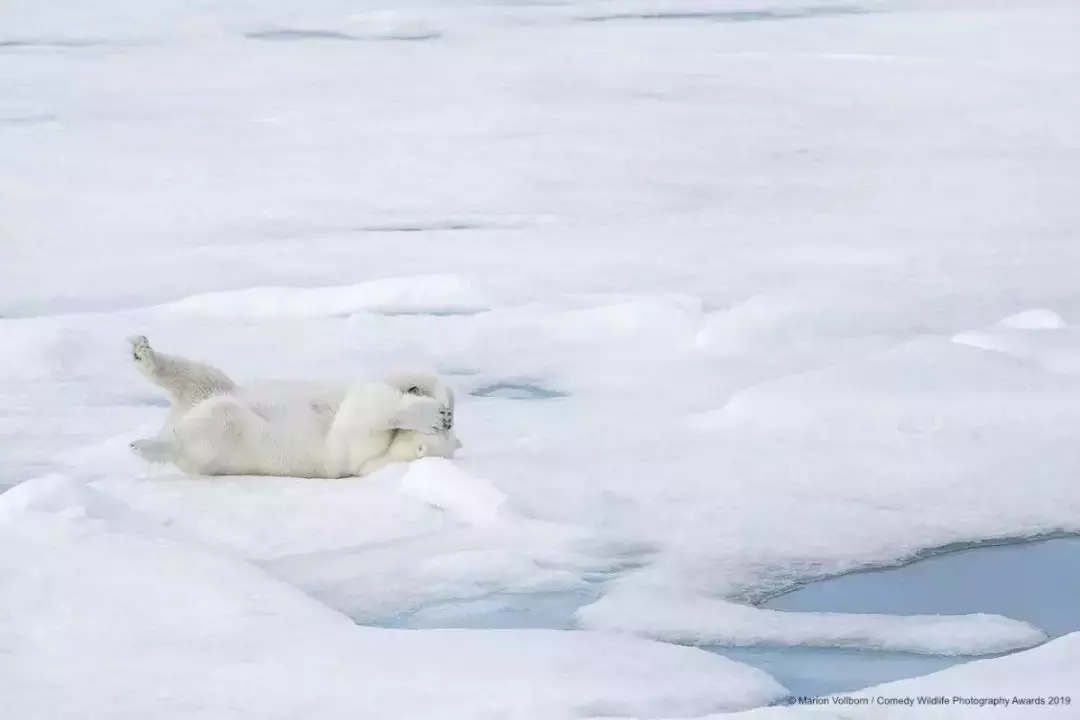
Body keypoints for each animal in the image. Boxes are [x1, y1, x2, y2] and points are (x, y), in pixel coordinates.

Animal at [128, 336, 462, 479]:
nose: (447, 422)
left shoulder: (356, 454)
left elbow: (365, 413)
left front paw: (431, 414)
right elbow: (386, 381)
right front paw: (431, 396)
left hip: (226, 441)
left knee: (215, 419)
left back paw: (147, 443)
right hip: (217, 388)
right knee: (200, 376)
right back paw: (142, 352)